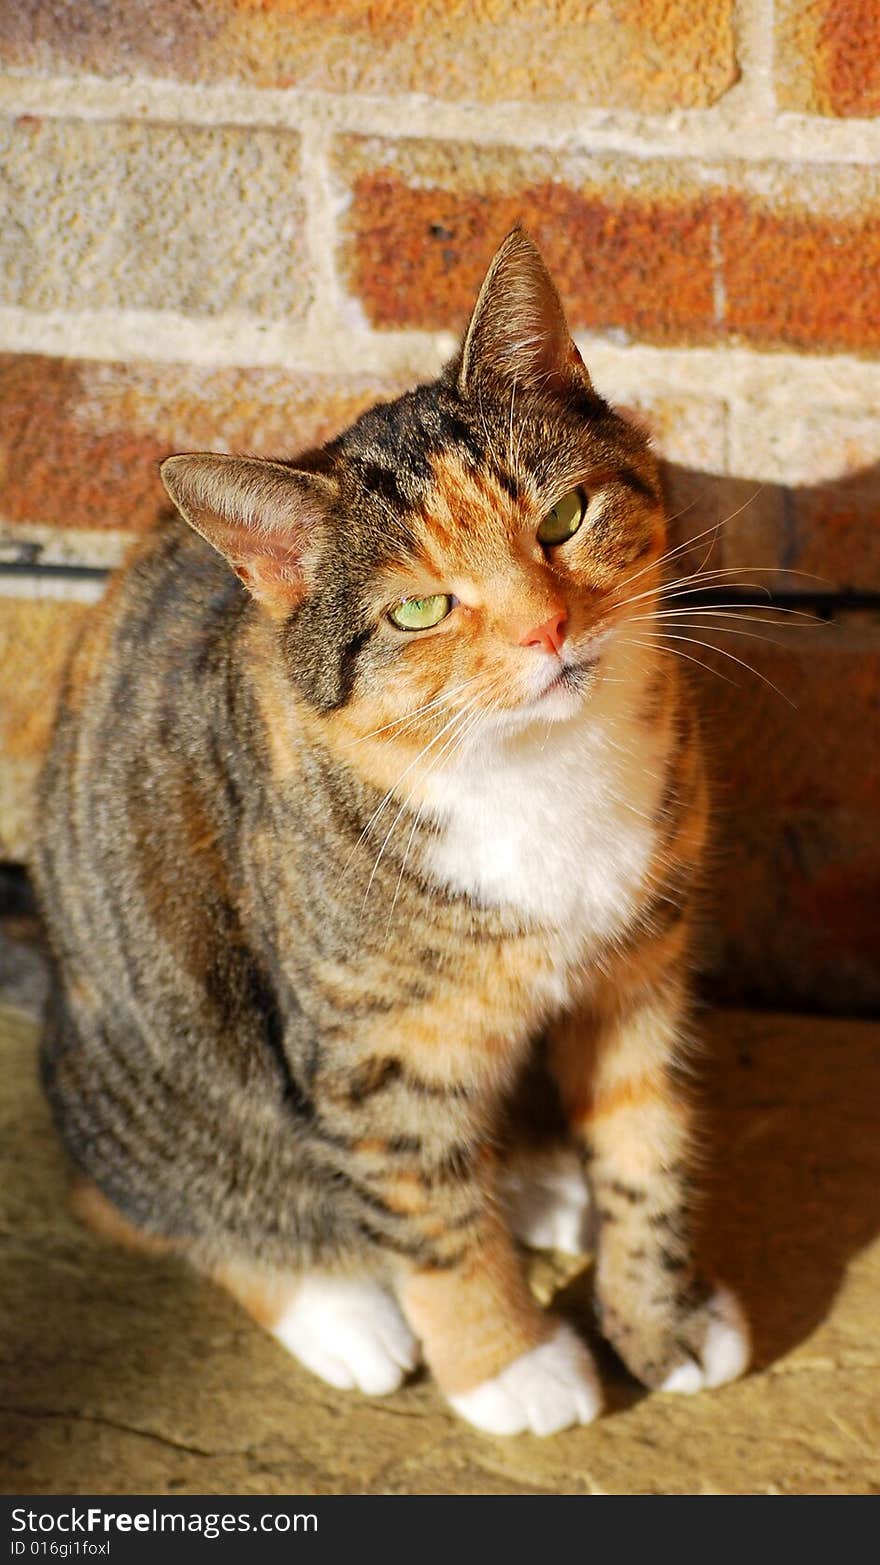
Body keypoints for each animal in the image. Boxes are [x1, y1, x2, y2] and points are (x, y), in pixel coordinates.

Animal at [34, 226, 745, 1433]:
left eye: (563, 518)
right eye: (418, 609)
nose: (548, 628)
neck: (529, 771)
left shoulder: (638, 969)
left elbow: (647, 1141)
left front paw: (664, 1313)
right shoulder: (376, 1051)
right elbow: (430, 1218)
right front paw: (508, 1362)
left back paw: (534, 1177)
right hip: (160, 1057)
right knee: (139, 1188)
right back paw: (340, 1309)